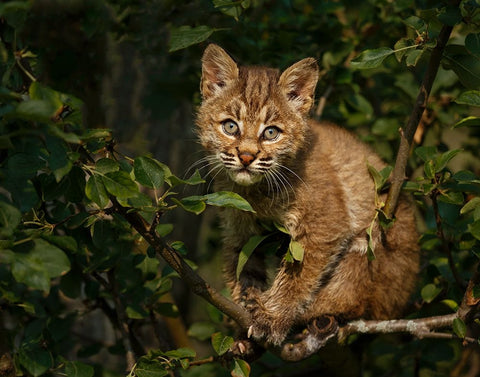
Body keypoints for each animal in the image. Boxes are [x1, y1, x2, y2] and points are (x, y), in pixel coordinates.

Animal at [196, 43, 420, 344]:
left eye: (271, 133)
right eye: (231, 127)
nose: (246, 157)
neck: (256, 188)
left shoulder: (326, 224)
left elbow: (297, 277)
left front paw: (272, 317)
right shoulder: (239, 228)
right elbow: (243, 271)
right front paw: (248, 312)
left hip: (378, 238)